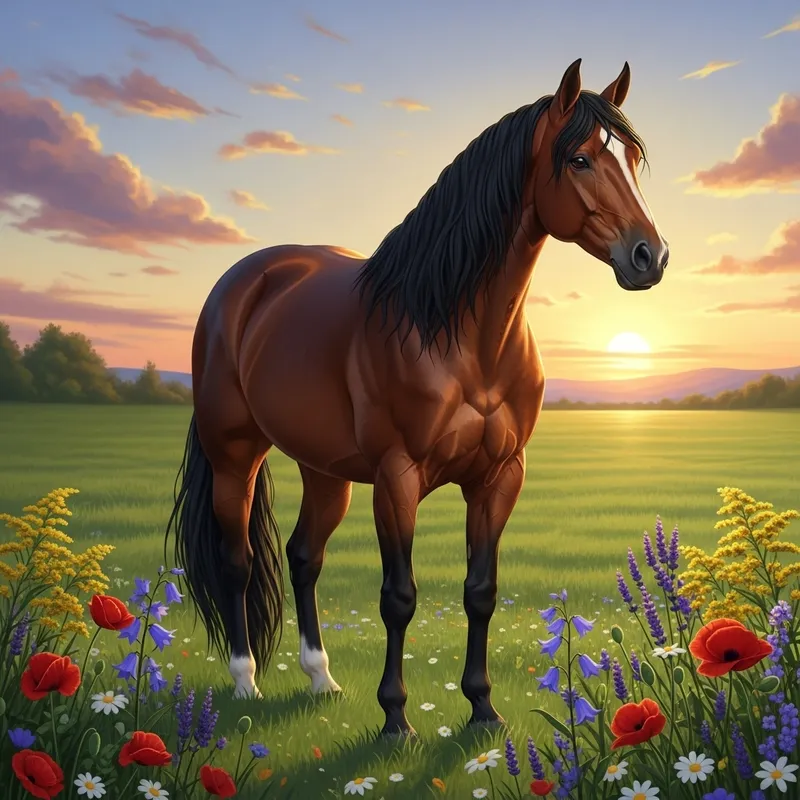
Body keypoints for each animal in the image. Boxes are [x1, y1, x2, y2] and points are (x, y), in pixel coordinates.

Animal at [167, 58, 668, 737]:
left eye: (632, 159)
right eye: (581, 158)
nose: (650, 256)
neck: (456, 331)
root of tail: (241, 282)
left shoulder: (498, 477)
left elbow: (480, 591)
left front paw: (482, 710)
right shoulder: (397, 477)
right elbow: (399, 597)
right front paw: (396, 720)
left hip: (325, 471)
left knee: (304, 556)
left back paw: (321, 678)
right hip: (234, 456)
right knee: (239, 560)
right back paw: (246, 683)